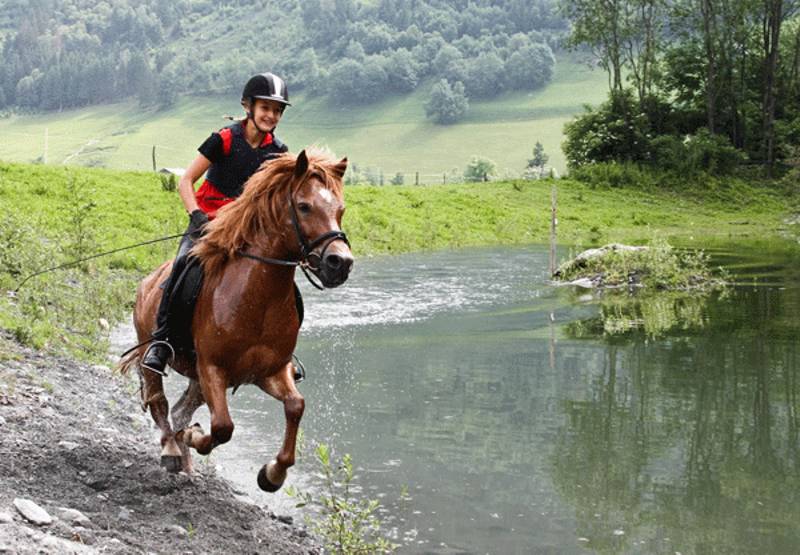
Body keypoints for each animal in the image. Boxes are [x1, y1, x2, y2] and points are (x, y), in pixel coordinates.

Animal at [119, 150, 354, 494]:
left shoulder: (270, 372)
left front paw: (272, 474)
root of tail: (147, 282)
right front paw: (194, 436)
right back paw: (172, 451)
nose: (340, 263)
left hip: (197, 379)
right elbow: (222, 426)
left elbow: (295, 406)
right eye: (304, 206)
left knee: (179, 410)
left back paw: (187, 464)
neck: (256, 299)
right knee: (159, 402)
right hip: (153, 355)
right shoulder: (212, 368)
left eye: (340, 209)